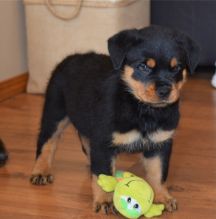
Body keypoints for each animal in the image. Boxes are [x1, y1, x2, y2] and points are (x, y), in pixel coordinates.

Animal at [30, 24, 199, 213]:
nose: (164, 91)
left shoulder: (160, 144)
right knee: (46, 142)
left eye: (176, 68)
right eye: (143, 67)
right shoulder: (103, 143)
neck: (142, 110)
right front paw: (104, 201)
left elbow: (158, 174)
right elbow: (103, 173)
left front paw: (162, 197)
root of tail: (69, 58)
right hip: (54, 112)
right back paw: (41, 171)